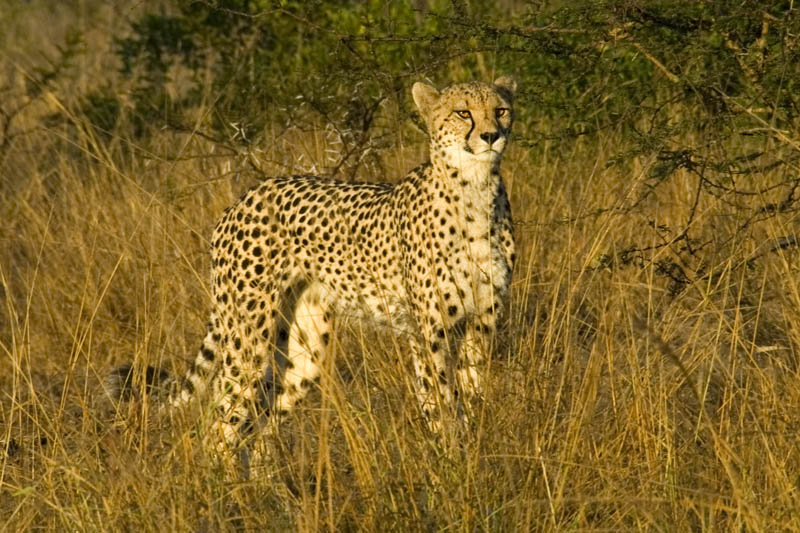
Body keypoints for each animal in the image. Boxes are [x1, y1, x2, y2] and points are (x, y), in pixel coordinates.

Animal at [111, 76, 517, 464]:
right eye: (463, 112)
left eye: (500, 110)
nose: (491, 136)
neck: (475, 190)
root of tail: (247, 195)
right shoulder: (429, 331)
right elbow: (441, 402)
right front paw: (450, 464)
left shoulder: (483, 321)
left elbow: (473, 393)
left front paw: (473, 455)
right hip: (248, 337)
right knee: (218, 423)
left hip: (304, 351)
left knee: (262, 429)